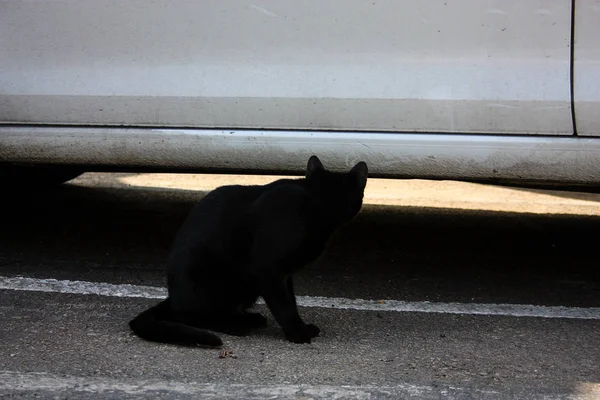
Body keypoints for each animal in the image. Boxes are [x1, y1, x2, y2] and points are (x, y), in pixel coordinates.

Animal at [129, 156, 368, 346]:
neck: (314, 212)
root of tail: (172, 297)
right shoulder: (269, 270)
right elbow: (284, 305)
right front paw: (298, 333)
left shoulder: (285, 275)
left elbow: (290, 300)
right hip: (211, 277)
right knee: (197, 316)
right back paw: (236, 327)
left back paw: (250, 319)